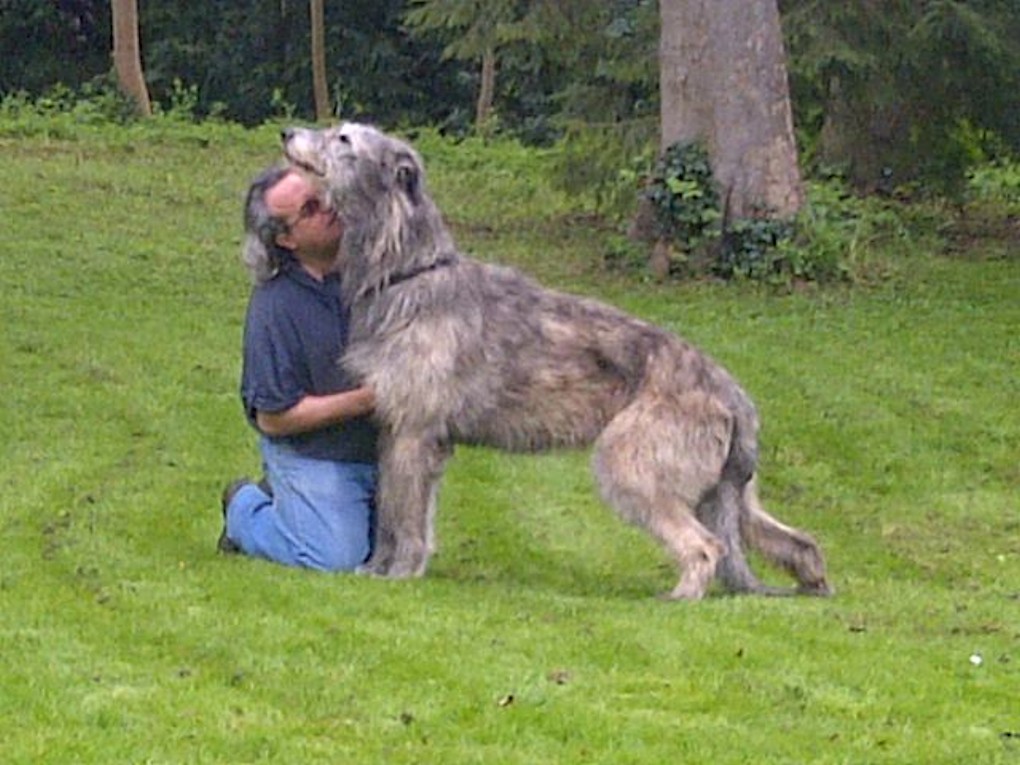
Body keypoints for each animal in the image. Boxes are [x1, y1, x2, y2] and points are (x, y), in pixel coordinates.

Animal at [277, 122, 828, 603]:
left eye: (344, 138)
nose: (286, 132)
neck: (408, 273)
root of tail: (731, 392)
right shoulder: (402, 433)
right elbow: (400, 513)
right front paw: (377, 567)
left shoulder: (414, 432)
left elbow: (403, 517)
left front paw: (398, 574)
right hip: (728, 490)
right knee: (794, 540)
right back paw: (811, 583)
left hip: (635, 462)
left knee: (706, 545)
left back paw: (680, 596)